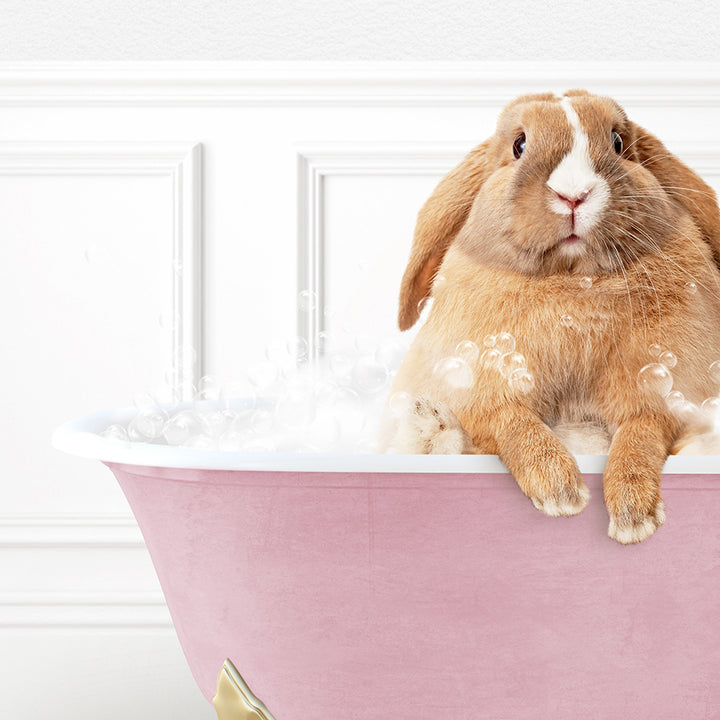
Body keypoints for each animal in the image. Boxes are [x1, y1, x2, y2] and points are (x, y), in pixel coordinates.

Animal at [386, 87, 720, 544]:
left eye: (618, 142)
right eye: (519, 145)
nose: (574, 194)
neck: (572, 283)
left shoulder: (661, 391)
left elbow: (640, 434)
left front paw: (633, 517)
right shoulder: (482, 385)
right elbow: (512, 421)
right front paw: (561, 492)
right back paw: (430, 424)